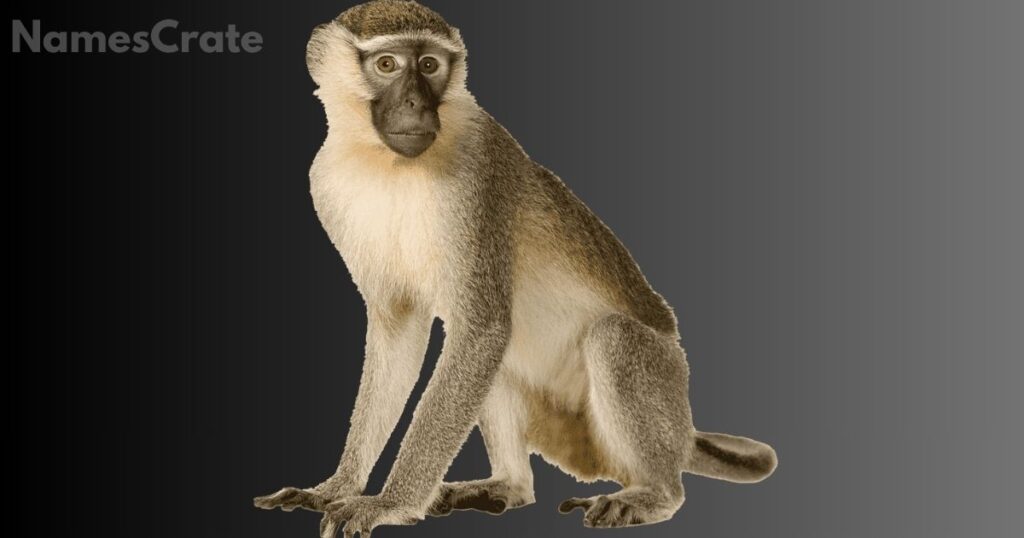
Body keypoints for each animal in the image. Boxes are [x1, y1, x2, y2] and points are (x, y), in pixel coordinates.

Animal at [254, 1, 777, 535]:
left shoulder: (475, 174)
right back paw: (507, 485)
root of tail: (683, 430)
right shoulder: (326, 183)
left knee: (610, 338)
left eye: (430, 66)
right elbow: (404, 333)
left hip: (661, 386)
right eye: (387, 64)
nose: (417, 105)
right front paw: (336, 488)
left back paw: (654, 493)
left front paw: (389, 502)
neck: (386, 163)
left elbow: (481, 329)